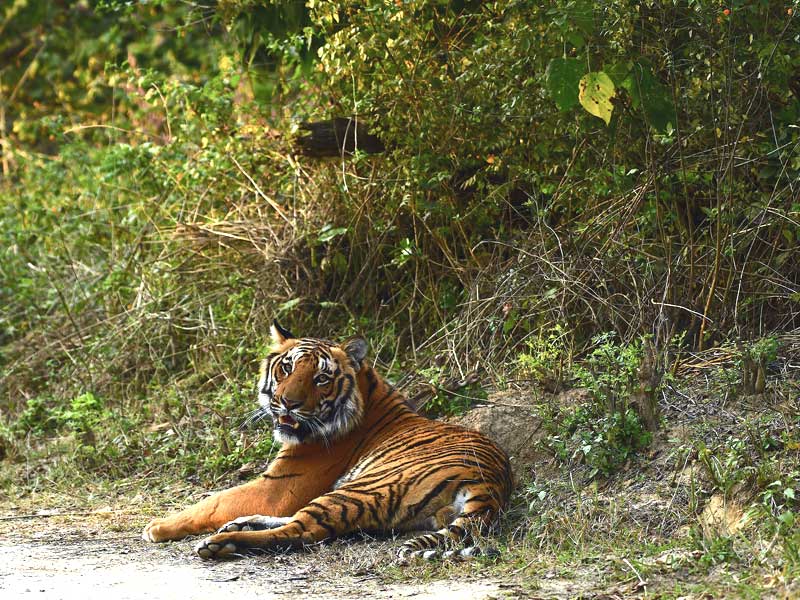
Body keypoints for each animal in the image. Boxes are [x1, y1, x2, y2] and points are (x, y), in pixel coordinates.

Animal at [141, 322, 510, 560]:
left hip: (365, 486)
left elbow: (212, 501)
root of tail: (492, 483)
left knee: (301, 531)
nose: (288, 403)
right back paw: (240, 524)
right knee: (301, 523)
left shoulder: (277, 487)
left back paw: (223, 543)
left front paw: (157, 526)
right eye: (287, 368)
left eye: (321, 378)